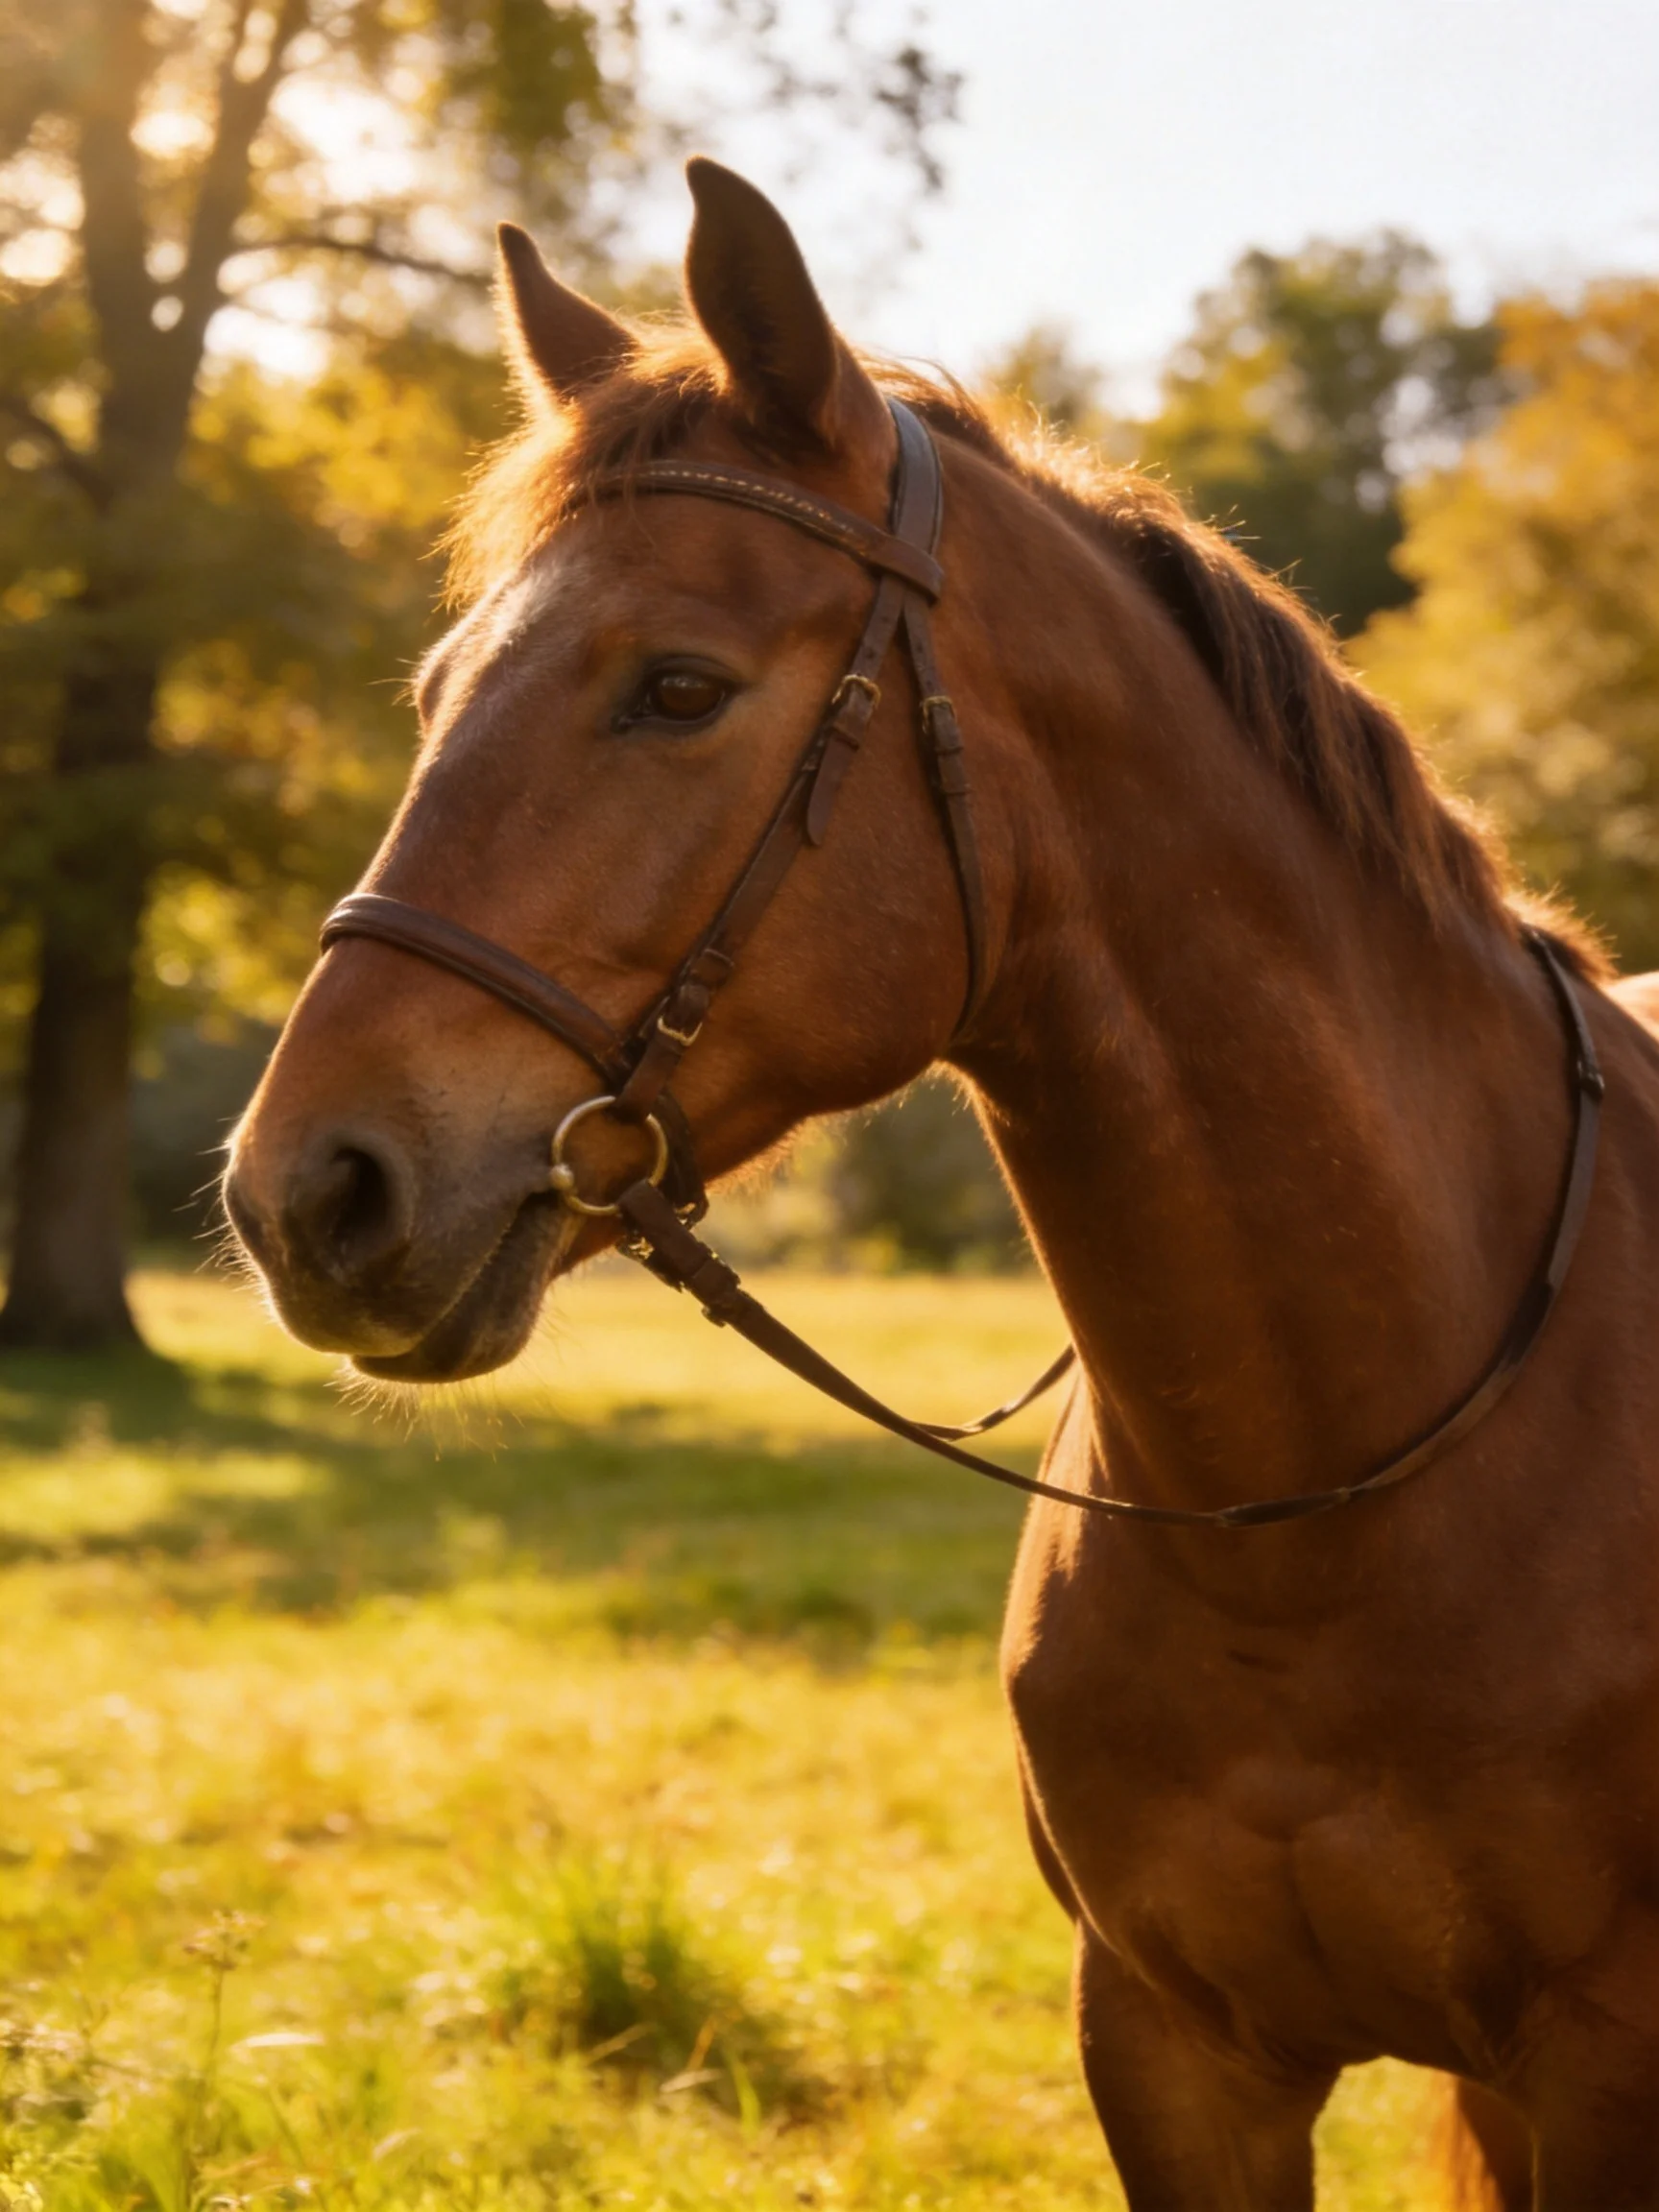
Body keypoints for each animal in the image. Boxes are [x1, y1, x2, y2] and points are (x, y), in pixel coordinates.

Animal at [224, 160, 1659, 2206]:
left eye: (677, 686)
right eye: (435, 688)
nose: (305, 1190)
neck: (1331, 1505)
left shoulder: (1598, 2067)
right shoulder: (1174, 2050)